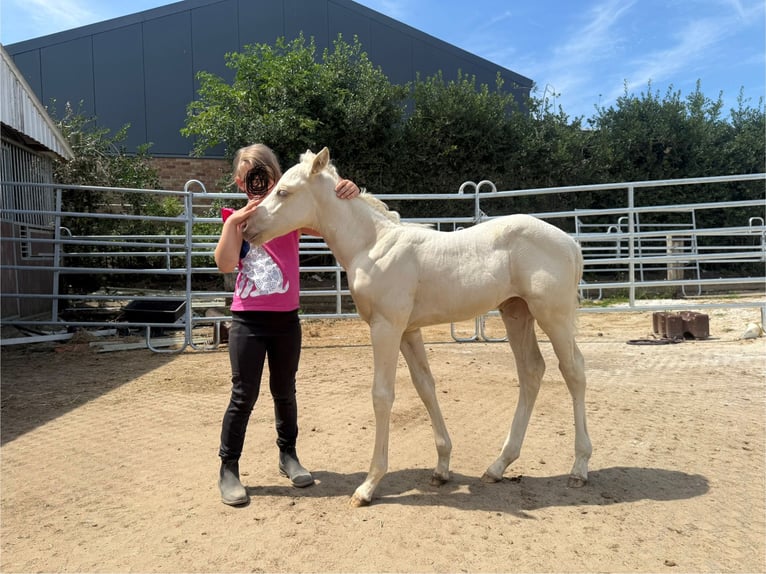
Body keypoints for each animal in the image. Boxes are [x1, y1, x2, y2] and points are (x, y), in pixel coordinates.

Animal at [241, 147, 592, 507]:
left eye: (283, 192)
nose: (246, 226)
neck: (372, 245)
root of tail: (571, 244)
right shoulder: (409, 331)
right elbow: (425, 386)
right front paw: (441, 468)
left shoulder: (386, 327)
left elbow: (382, 395)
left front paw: (368, 485)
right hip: (516, 313)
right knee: (531, 371)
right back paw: (498, 466)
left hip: (553, 315)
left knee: (574, 371)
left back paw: (579, 468)